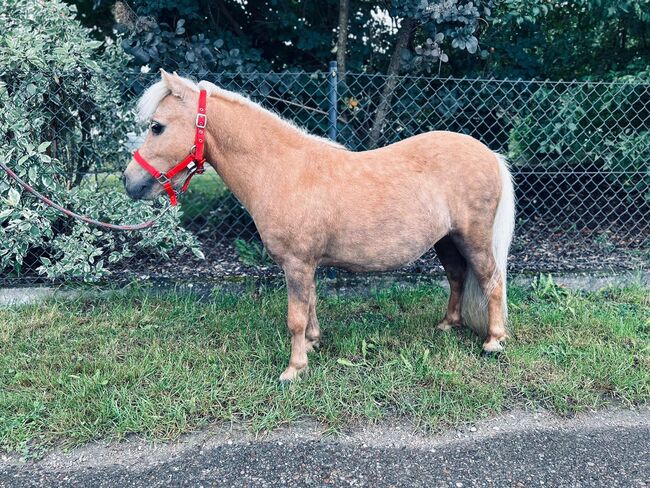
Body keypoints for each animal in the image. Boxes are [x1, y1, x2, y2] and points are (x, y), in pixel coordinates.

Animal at [124, 70, 512, 384]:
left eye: (157, 126)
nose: (130, 182)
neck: (282, 169)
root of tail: (490, 155)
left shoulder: (296, 263)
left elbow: (295, 315)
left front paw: (294, 370)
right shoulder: (305, 265)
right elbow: (309, 304)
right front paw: (312, 344)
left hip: (473, 239)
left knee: (491, 281)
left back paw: (493, 341)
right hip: (446, 240)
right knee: (458, 277)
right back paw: (447, 325)